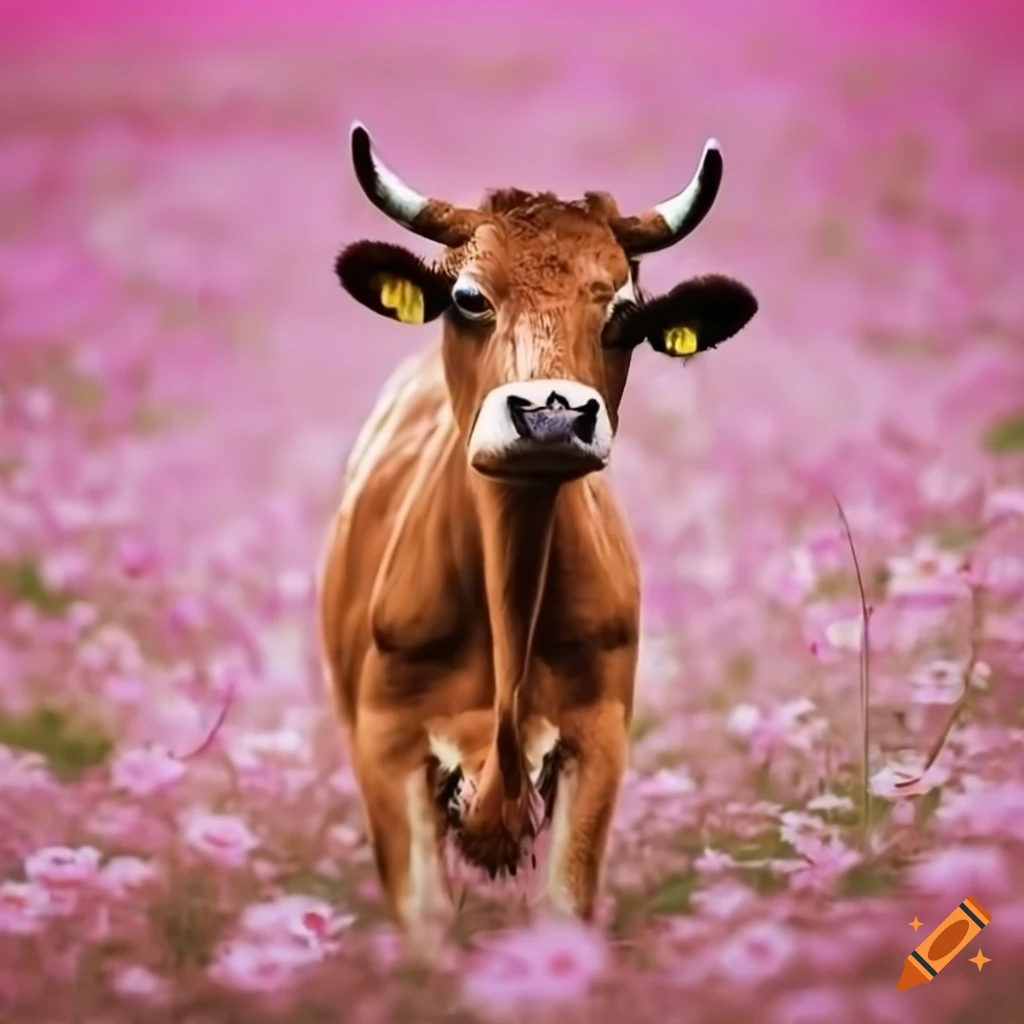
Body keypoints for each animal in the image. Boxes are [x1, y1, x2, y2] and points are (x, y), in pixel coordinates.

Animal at [318, 121, 758, 955]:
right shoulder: (384, 746)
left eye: (625, 315)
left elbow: (564, 906)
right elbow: (425, 917)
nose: (552, 415)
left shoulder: (601, 734)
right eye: (467, 297)